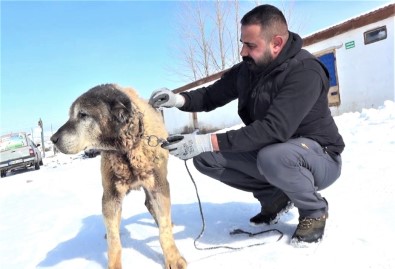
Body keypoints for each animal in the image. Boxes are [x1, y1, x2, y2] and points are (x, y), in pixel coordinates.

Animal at [51, 84, 187, 268]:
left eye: (83, 114)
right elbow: (114, 240)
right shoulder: (110, 195)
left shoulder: (159, 186)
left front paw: (173, 258)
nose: (52, 139)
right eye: (71, 115)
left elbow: (164, 229)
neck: (127, 149)